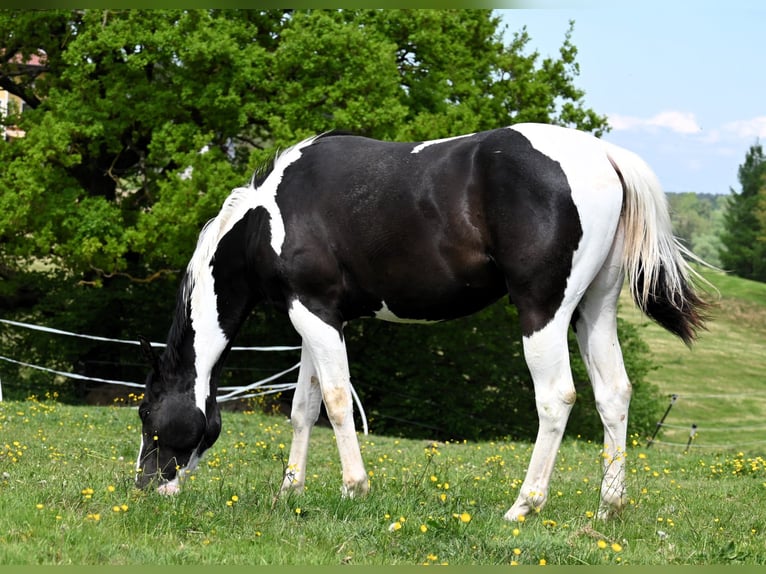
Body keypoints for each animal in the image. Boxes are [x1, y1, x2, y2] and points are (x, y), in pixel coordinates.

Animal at [135, 122, 707, 521]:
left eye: (145, 413)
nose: (145, 486)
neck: (268, 218)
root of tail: (603, 155)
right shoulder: (317, 317)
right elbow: (304, 407)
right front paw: (289, 490)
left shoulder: (316, 316)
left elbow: (337, 402)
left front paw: (353, 488)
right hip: (594, 309)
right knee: (614, 394)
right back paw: (609, 506)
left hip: (543, 312)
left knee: (556, 398)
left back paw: (523, 505)